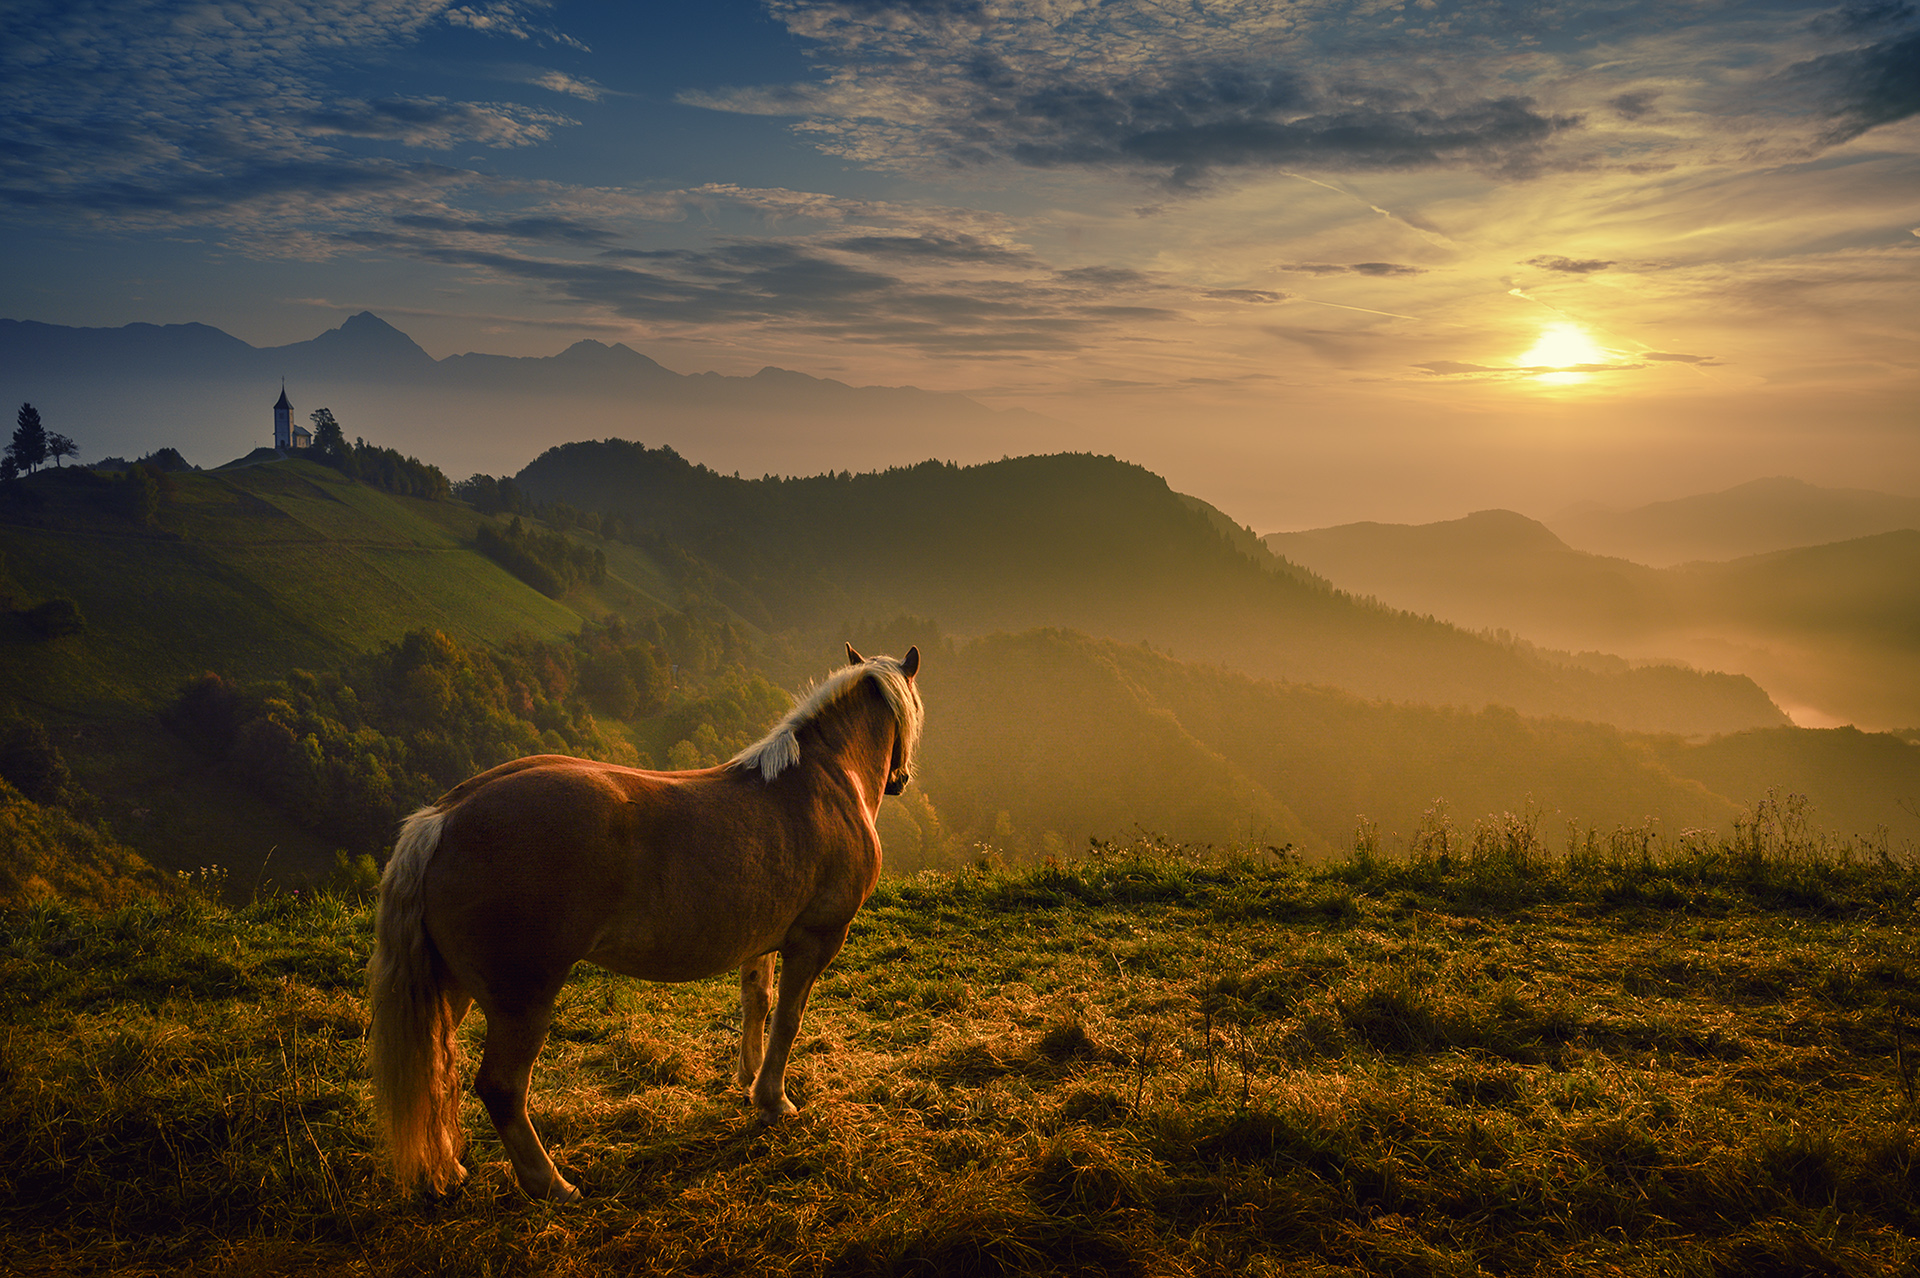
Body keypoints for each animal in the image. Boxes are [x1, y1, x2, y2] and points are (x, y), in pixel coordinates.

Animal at [370, 648, 925, 1197]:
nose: (901, 781)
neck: (823, 778)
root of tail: (443, 817)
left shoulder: (764, 939)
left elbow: (758, 1003)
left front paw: (748, 1080)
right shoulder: (815, 939)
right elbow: (788, 1019)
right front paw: (773, 1101)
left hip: (452, 989)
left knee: (437, 1070)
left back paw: (448, 1168)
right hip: (522, 999)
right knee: (502, 1087)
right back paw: (550, 1184)